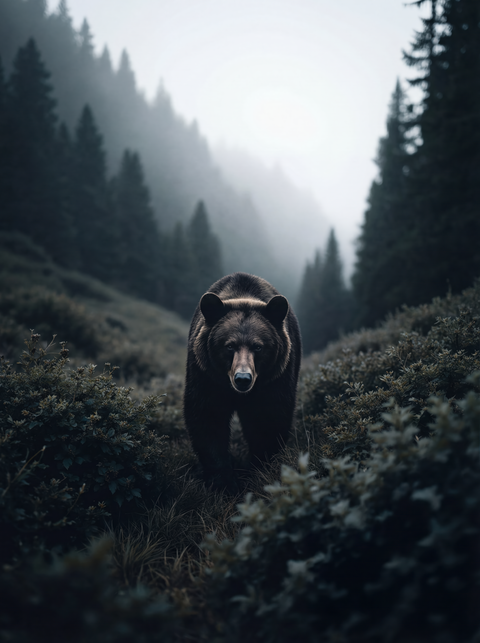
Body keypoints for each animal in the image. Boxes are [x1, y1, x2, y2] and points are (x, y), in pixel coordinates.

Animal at [183, 272, 302, 492]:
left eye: (258, 347)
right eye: (229, 346)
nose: (243, 379)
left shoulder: (274, 381)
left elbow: (269, 420)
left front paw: (260, 469)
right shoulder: (206, 376)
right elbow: (207, 418)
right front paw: (222, 481)